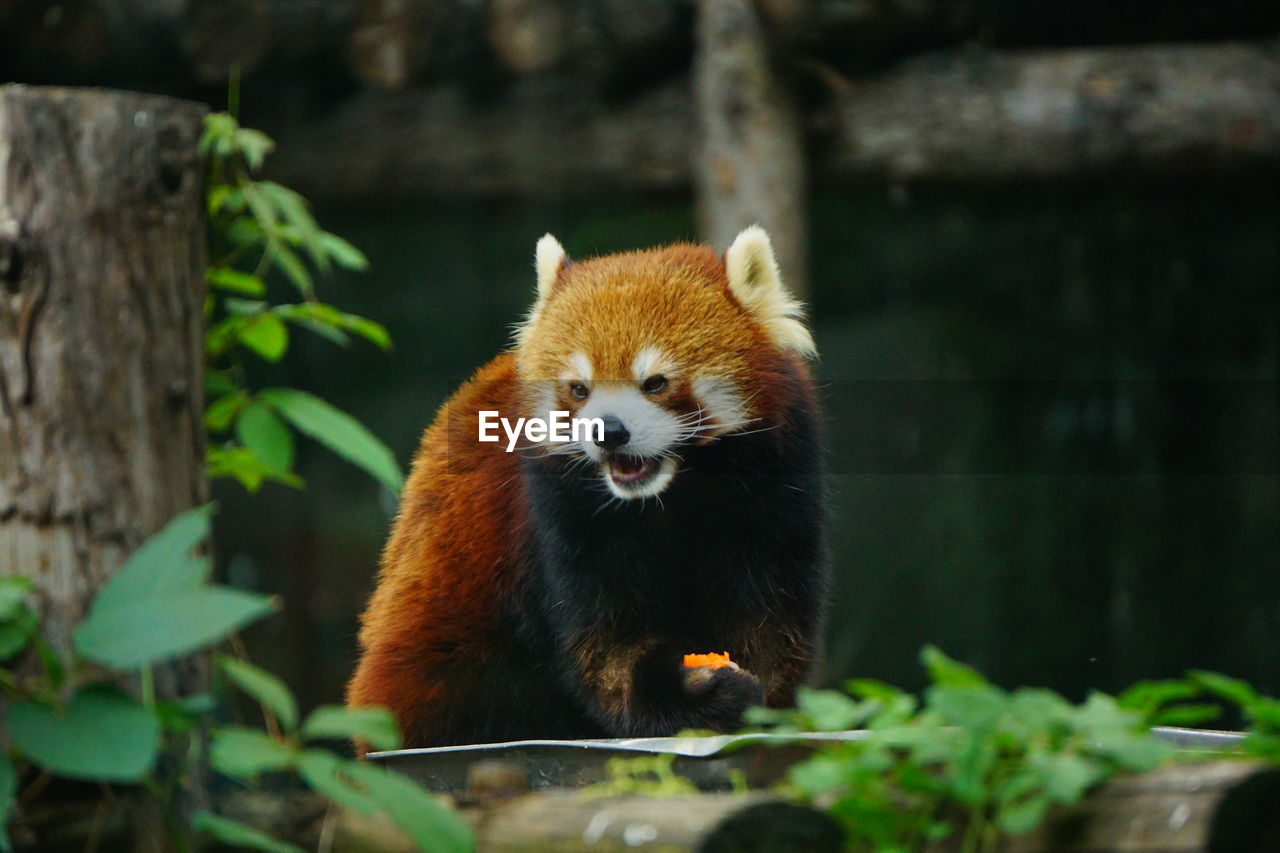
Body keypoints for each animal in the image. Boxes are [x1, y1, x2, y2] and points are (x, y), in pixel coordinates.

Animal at [348, 225, 829, 742]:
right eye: (579, 390)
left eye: (655, 383)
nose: (608, 432)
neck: (668, 494)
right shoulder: (557, 508)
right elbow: (605, 635)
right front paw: (690, 696)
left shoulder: (773, 487)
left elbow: (766, 608)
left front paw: (764, 698)